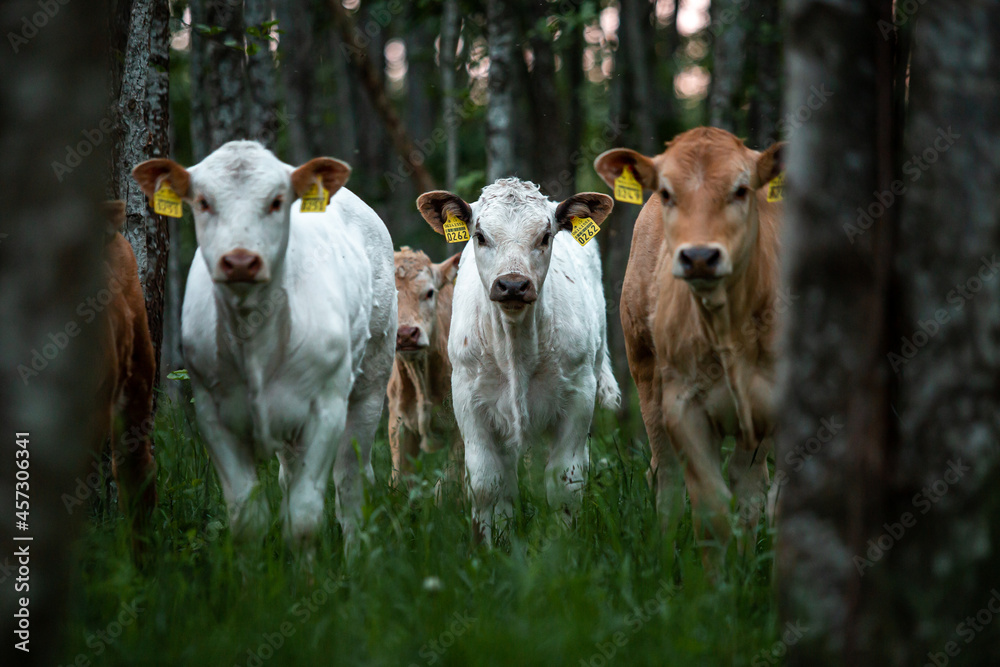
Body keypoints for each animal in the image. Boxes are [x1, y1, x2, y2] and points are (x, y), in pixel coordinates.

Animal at [132, 141, 397, 556]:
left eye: (276, 200)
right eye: (203, 201)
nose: (240, 261)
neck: (254, 335)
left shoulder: (325, 409)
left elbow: (304, 517)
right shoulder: (213, 415)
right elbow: (247, 517)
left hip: (371, 382)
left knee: (352, 479)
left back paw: (355, 553)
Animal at [417, 178, 621, 544]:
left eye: (545, 235)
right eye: (480, 235)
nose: (512, 285)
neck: (515, 346)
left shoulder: (579, 397)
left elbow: (565, 482)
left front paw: (562, 544)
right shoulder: (469, 400)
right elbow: (488, 483)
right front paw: (495, 543)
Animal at [594, 127, 784, 560]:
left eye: (741, 189)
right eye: (668, 192)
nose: (699, 256)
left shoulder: (769, 405)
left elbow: (748, 493)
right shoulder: (683, 405)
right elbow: (711, 507)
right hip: (645, 369)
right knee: (664, 474)